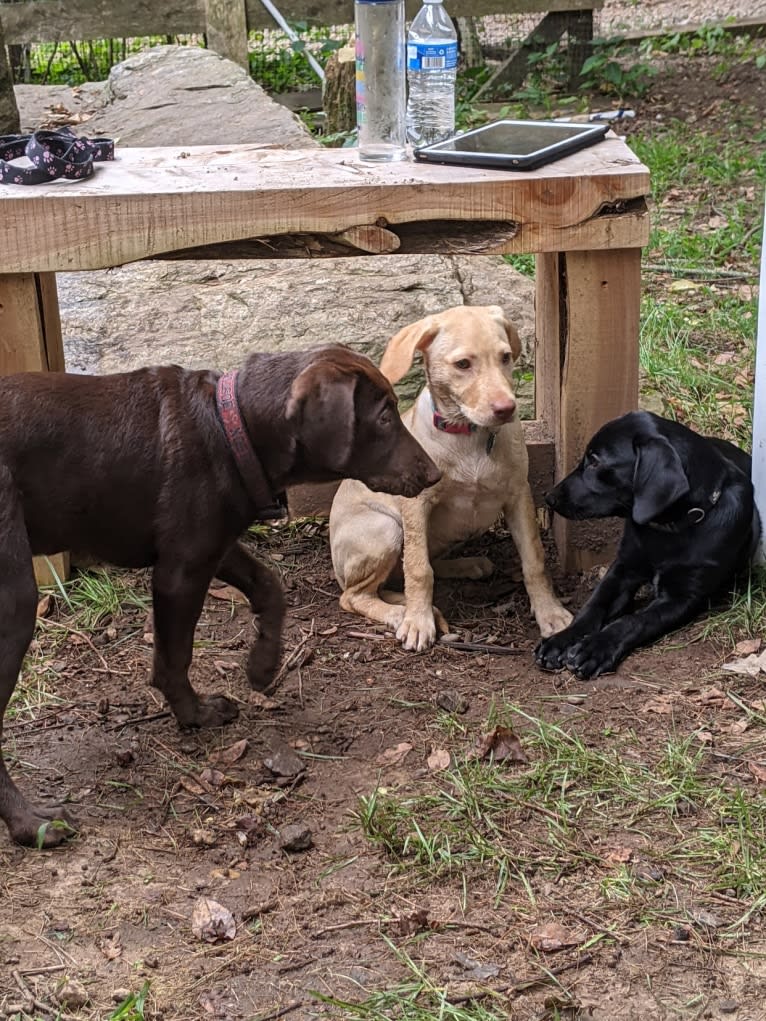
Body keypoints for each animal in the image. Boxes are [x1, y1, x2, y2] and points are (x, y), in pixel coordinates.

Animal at [535, 410, 759, 682]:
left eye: (596, 462)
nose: (549, 497)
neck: (667, 530)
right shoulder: (623, 568)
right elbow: (593, 605)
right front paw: (561, 639)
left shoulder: (683, 598)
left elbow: (633, 621)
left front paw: (595, 648)